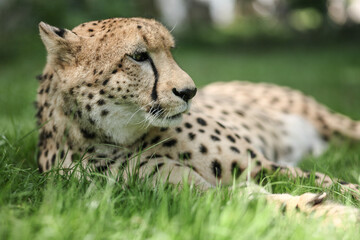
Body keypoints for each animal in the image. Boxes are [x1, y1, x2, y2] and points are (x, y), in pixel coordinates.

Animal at [36, 17, 360, 225]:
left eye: (170, 51)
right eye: (139, 56)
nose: (189, 91)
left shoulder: (262, 165)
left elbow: (337, 182)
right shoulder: (194, 197)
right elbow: (253, 201)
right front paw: (326, 212)